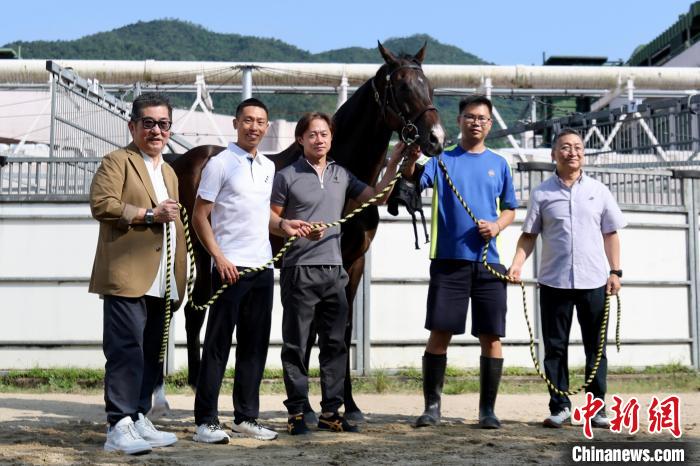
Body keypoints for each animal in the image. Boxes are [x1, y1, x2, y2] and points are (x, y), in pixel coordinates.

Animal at [168, 42, 442, 418]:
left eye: (429, 87)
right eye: (401, 87)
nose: (436, 139)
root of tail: (186, 161)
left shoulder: (352, 263)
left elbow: (341, 329)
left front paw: (348, 406)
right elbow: (309, 332)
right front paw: (309, 406)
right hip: (204, 248)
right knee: (196, 310)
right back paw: (197, 389)